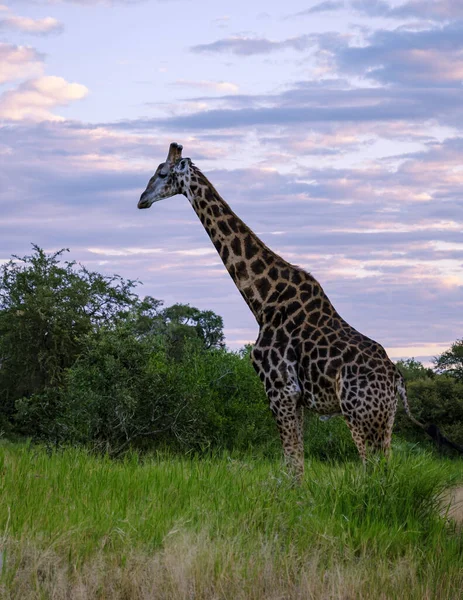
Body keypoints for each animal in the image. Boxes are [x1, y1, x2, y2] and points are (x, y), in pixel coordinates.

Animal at [137, 143, 456, 480]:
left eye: (162, 173)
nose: (141, 200)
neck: (262, 301)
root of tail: (398, 381)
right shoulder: (296, 398)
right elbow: (297, 463)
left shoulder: (280, 389)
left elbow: (293, 467)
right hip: (384, 421)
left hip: (360, 416)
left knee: (372, 470)